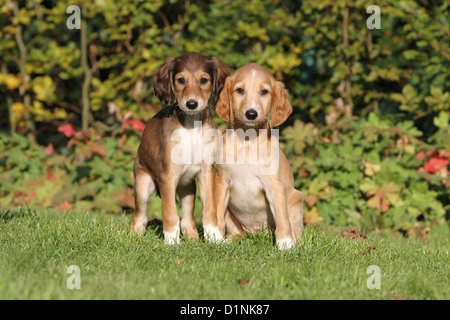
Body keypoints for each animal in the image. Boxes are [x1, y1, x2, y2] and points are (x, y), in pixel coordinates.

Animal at [129, 51, 229, 244]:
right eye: (181, 80)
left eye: (204, 80)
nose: (191, 104)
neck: (192, 126)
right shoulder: (167, 176)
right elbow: (169, 213)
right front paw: (172, 242)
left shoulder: (206, 171)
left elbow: (210, 210)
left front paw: (215, 238)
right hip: (144, 185)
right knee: (139, 215)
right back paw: (135, 237)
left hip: (187, 187)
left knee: (187, 217)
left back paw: (192, 238)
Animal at [214, 63, 302, 250]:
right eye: (240, 90)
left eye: (264, 91)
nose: (251, 114)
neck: (248, 140)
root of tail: (256, 233)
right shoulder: (222, 182)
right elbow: (216, 212)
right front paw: (214, 238)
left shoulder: (275, 186)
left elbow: (282, 218)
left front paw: (285, 243)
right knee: (238, 233)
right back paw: (230, 239)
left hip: (296, 200)